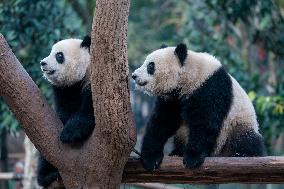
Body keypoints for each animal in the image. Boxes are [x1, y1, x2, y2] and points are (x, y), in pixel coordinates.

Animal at [36, 35, 94, 188]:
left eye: (59, 55)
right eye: (50, 52)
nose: (43, 63)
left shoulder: (92, 84)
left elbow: (89, 114)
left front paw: (69, 133)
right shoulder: (63, 92)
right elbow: (62, 113)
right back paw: (47, 176)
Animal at [132, 43, 266, 171]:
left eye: (150, 66)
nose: (134, 75)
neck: (189, 74)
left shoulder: (210, 88)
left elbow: (204, 122)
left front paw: (193, 157)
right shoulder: (173, 98)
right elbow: (163, 121)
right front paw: (150, 158)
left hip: (237, 126)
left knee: (246, 139)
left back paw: (243, 154)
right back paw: (177, 152)